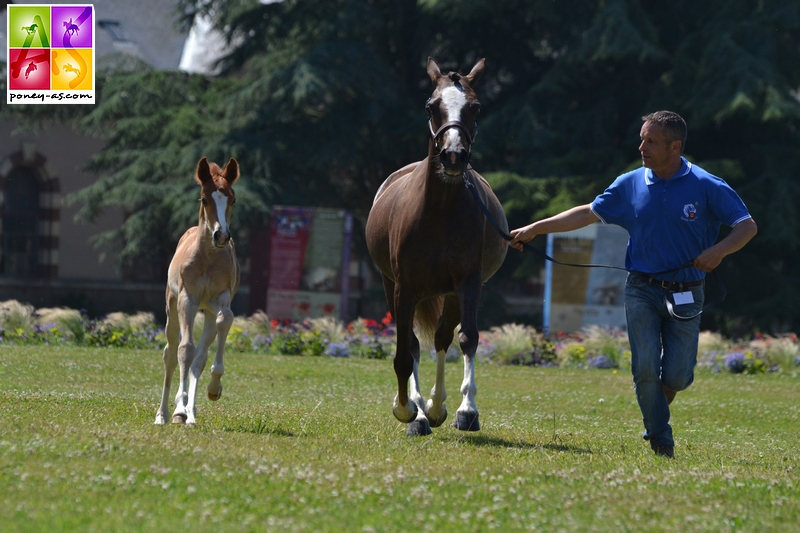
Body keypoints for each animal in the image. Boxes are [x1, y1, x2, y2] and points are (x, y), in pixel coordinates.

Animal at [368, 58, 510, 434]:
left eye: (475, 107)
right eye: (431, 106)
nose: (453, 156)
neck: (440, 212)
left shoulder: (468, 283)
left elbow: (468, 338)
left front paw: (467, 410)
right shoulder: (403, 288)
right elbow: (405, 353)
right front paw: (407, 410)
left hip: (450, 294)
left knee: (444, 338)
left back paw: (435, 406)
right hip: (392, 287)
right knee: (416, 346)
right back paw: (419, 411)